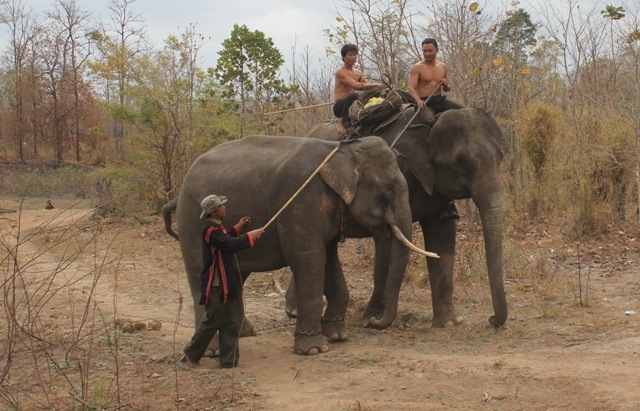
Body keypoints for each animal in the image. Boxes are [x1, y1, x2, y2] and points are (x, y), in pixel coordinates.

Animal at [160, 137, 424, 356]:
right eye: (390, 187)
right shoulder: (302, 204)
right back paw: (212, 351)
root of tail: (178, 194)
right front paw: (315, 350)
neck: (340, 150)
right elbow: (309, 259)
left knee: (235, 276)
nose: (371, 322)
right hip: (193, 223)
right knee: (202, 276)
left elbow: (329, 262)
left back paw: (244, 333)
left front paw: (338, 336)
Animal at [288, 106, 508, 328]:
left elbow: (442, 237)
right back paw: (295, 310)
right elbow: (388, 240)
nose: (491, 320)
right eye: (461, 162)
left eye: (500, 156)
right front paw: (372, 318)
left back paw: (294, 310)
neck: (429, 125)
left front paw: (450, 322)